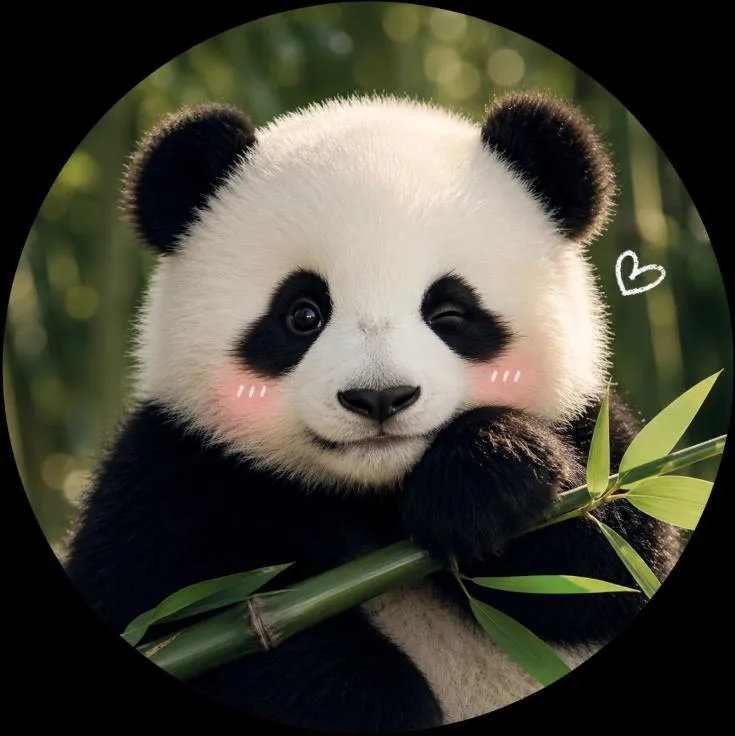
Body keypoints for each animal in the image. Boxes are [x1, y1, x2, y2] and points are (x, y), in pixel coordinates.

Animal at [64, 91, 681, 733]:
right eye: (303, 313)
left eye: (449, 312)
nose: (380, 397)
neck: (373, 496)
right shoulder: (176, 467)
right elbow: (184, 616)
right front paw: (381, 701)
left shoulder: (595, 431)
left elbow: (611, 558)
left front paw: (488, 477)